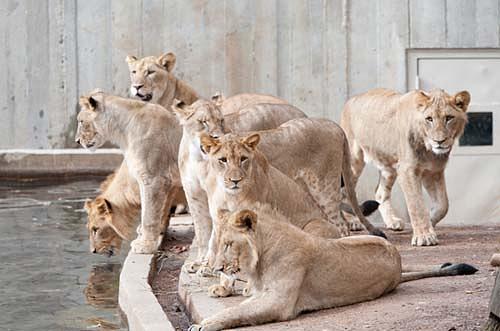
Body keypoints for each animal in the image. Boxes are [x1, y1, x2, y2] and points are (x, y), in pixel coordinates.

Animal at [188, 209, 476, 330]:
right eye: (217, 244)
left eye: (228, 244)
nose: (216, 267)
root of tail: (399, 263)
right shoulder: (262, 295)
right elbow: (238, 308)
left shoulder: (278, 302)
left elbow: (237, 312)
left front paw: (205, 325)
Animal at [199, 130, 382, 270]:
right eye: (223, 160)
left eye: (243, 158)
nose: (235, 180)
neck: (230, 195)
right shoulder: (218, 219)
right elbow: (216, 243)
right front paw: (211, 267)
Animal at [342, 88, 470, 246]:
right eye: (429, 119)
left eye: (449, 118)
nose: (439, 141)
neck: (430, 151)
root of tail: (350, 100)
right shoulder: (408, 170)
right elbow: (416, 204)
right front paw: (424, 236)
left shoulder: (433, 171)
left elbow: (443, 205)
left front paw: (430, 222)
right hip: (353, 160)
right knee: (346, 190)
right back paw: (352, 222)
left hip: (389, 166)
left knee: (380, 192)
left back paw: (392, 221)